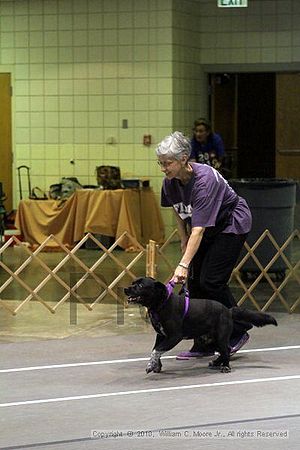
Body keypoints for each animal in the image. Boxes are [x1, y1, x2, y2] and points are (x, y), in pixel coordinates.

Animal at [123, 276, 276, 374]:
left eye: (140, 286)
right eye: (133, 282)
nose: (125, 288)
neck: (161, 304)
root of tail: (228, 310)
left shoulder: (174, 336)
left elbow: (156, 350)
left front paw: (150, 365)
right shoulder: (160, 335)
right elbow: (156, 350)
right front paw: (156, 366)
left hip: (220, 336)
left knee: (226, 350)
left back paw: (225, 367)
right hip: (210, 339)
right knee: (225, 350)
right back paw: (217, 362)